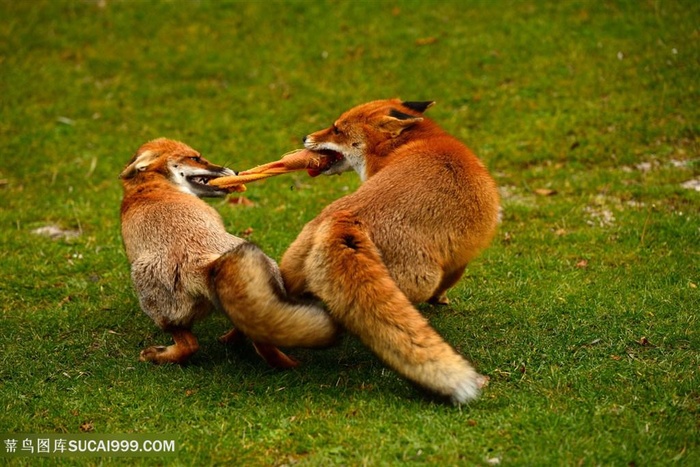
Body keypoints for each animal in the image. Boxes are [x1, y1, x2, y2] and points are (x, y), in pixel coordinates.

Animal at [276, 98, 500, 402]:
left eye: (337, 129)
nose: (304, 137)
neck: (417, 141)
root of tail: (347, 217)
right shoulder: (458, 259)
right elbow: (449, 282)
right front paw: (441, 301)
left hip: (291, 269)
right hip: (416, 282)